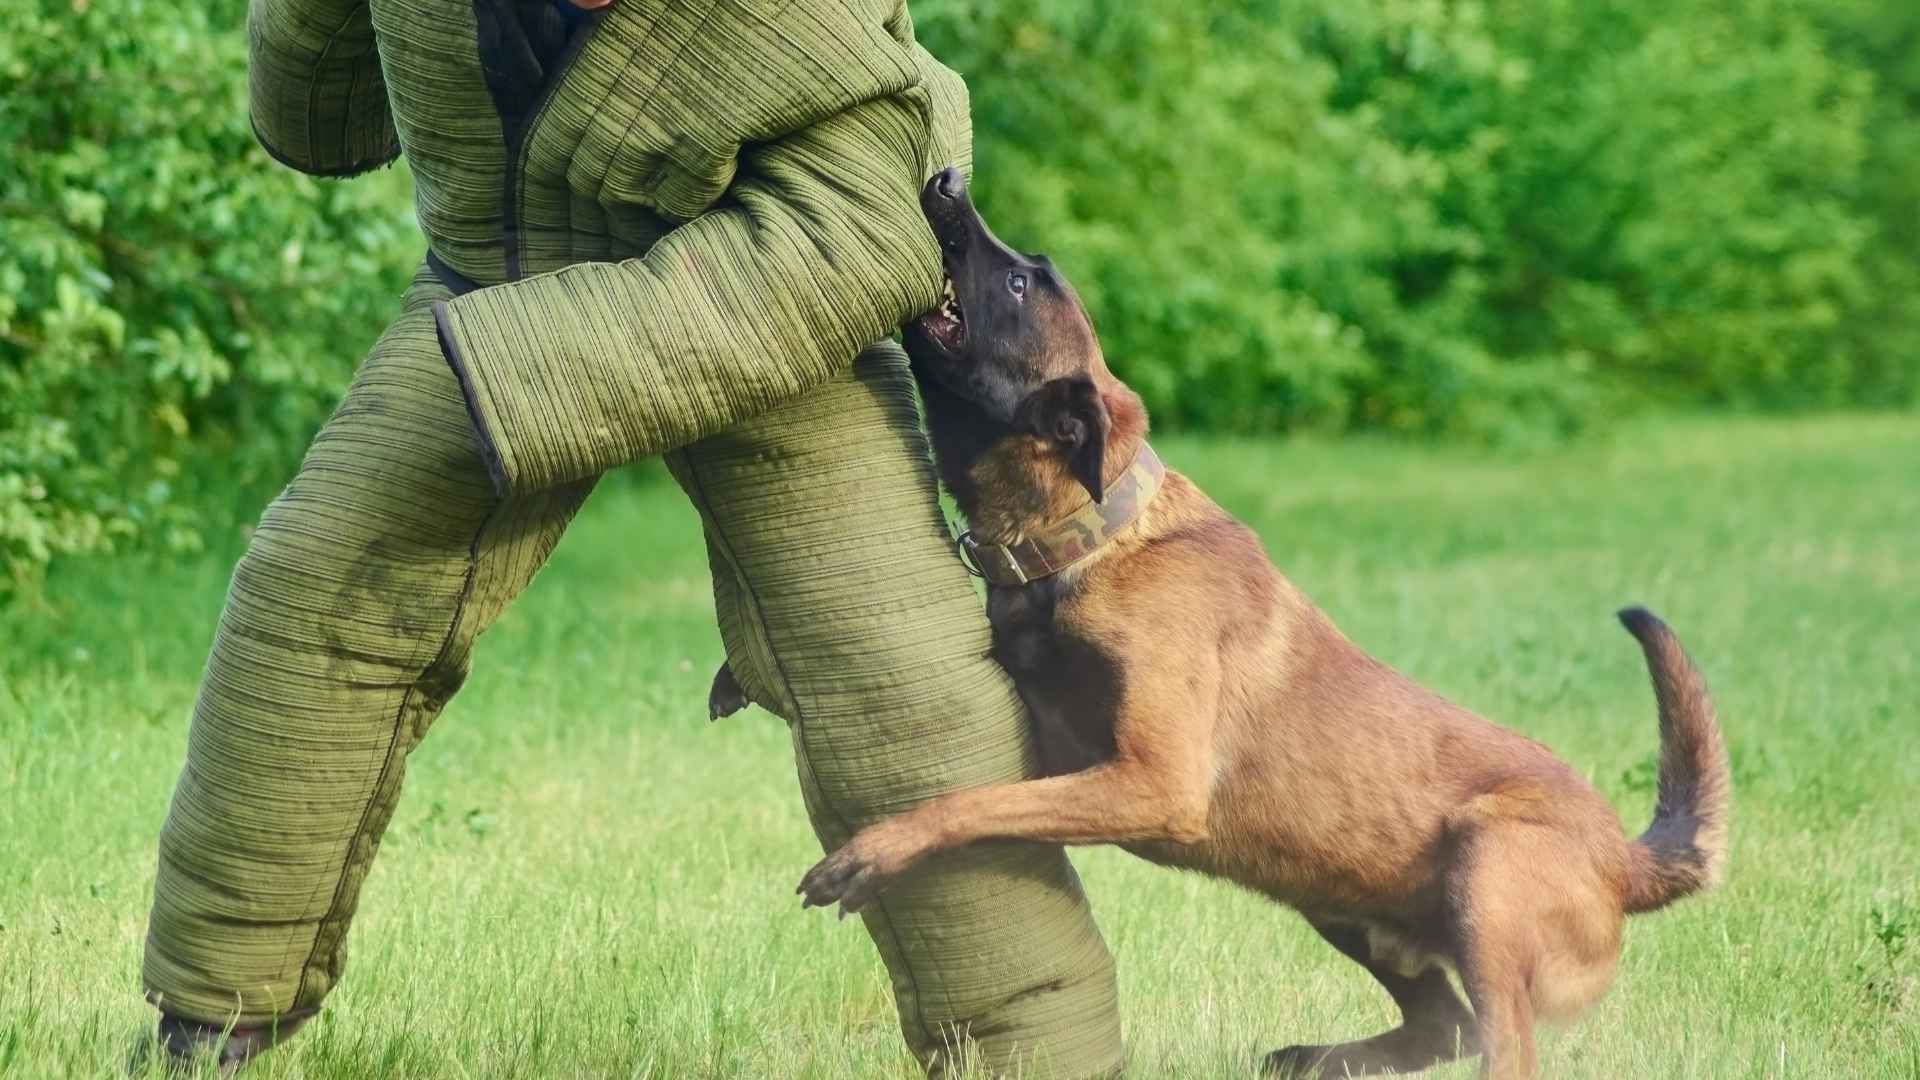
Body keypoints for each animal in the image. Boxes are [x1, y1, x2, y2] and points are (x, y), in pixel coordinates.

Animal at [718, 170, 1728, 1076]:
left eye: (1018, 285)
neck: (1095, 533)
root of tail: (1626, 861)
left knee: (1497, 1045)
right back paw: (1317, 1059)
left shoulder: (1148, 779)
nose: (945, 178)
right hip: (1344, 907)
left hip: (1487, 873)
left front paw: (870, 854)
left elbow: (972, 802)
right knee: (1445, 1028)